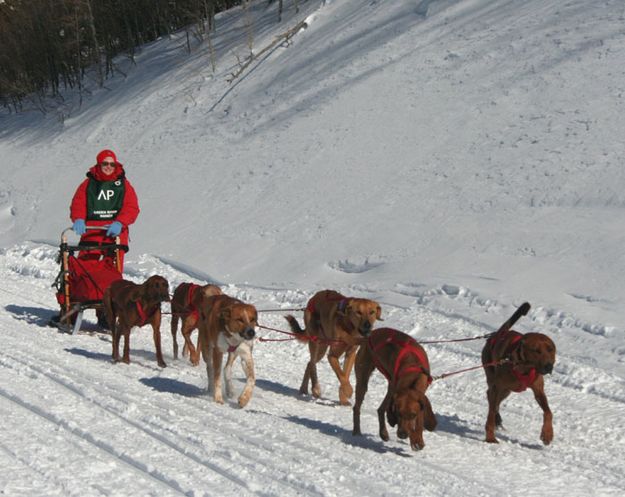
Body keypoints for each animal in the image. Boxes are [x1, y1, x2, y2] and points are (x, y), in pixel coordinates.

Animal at [480, 300, 552, 444]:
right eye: (536, 350)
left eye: (550, 349)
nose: (549, 366)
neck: (524, 367)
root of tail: (498, 333)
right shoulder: (496, 387)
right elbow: (490, 413)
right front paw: (490, 437)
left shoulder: (538, 390)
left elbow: (548, 412)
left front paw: (547, 433)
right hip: (494, 380)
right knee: (492, 399)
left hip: (506, 390)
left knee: (496, 403)